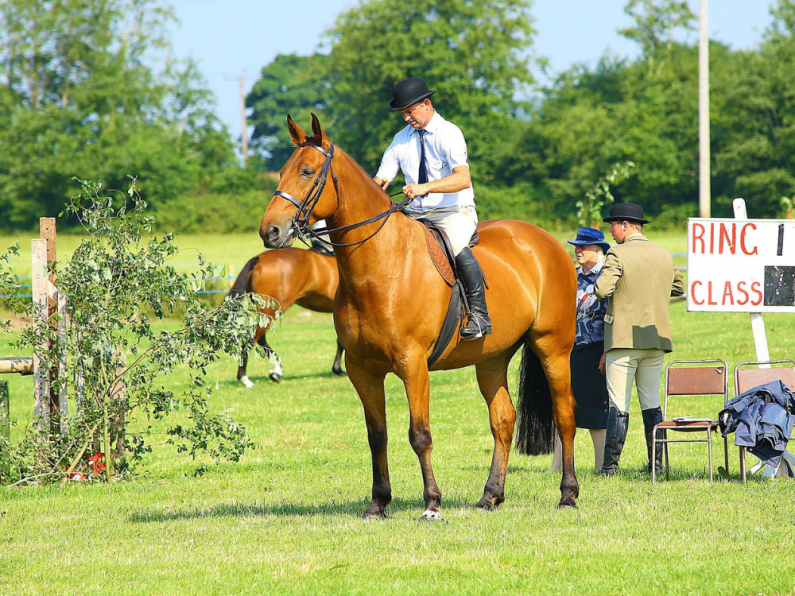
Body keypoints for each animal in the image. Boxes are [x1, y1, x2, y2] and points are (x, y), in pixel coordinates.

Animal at [227, 248, 346, 384]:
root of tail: (259, 258)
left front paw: (338, 369)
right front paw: (339, 370)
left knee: (260, 338)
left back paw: (276, 371)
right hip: (272, 310)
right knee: (252, 339)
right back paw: (244, 378)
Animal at [262, 114, 580, 520]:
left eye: (307, 171)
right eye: (282, 171)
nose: (270, 231)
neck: (381, 264)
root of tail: (547, 242)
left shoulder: (413, 364)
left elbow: (420, 434)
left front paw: (431, 503)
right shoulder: (362, 369)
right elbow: (376, 435)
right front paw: (378, 503)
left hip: (552, 348)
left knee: (564, 415)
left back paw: (567, 494)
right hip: (491, 358)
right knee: (503, 419)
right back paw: (490, 496)